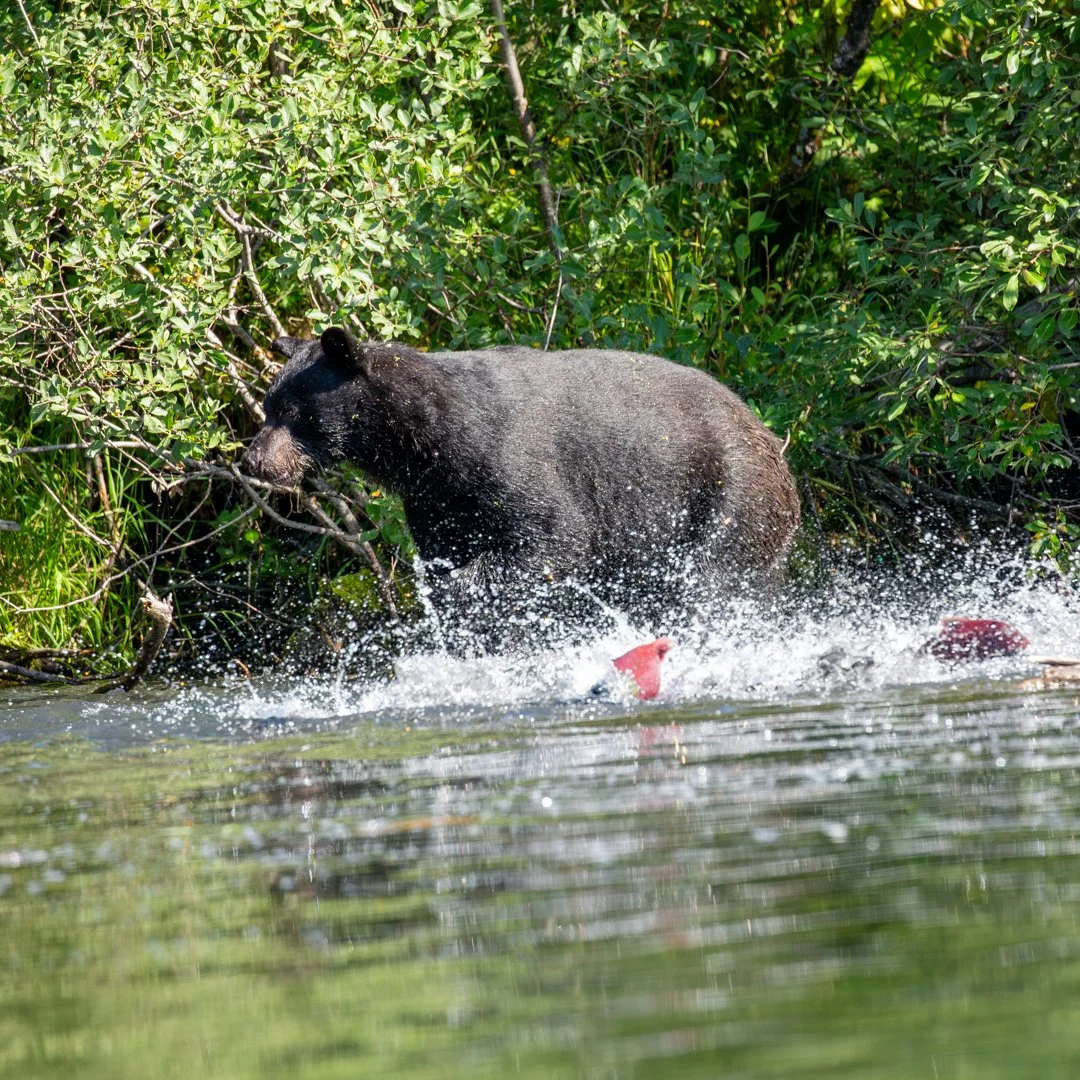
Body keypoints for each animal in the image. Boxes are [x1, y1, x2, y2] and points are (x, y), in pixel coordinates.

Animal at [241, 327, 800, 638]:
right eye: (267, 407)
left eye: (290, 411)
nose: (253, 462)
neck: (426, 441)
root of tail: (775, 445)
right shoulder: (437, 499)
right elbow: (446, 553)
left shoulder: (509, 457)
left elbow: (553, 534)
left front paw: (467, 599)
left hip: (727, 499)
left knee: (710, 584)